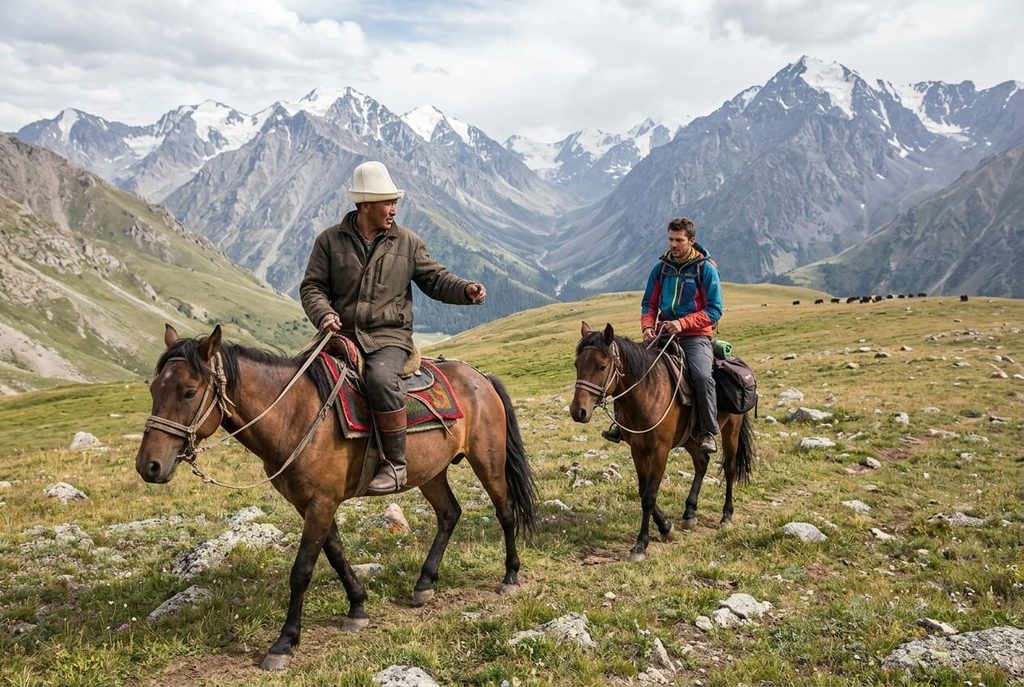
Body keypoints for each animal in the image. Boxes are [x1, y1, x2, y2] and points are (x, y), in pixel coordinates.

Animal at [135, 324, 536, 670]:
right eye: (153, 390)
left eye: (188, 392)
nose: (149, 466)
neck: (295, 414)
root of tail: (481, 377)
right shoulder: (310, 504)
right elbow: (337, 554)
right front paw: (357, 608)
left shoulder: (321, 503)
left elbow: (302, 570)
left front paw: (284, 643)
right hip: (431, 472)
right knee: (450, 513)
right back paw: (424, 584)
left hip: (488, 462)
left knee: (505, 511)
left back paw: (510, 576)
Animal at [569, 322, 755, 561]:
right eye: (577, 364)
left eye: (602, 366)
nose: (578, 412)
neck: (646, 392)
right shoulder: (637, 450)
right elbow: (643, 491)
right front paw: (666, 526)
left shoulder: (660, 451)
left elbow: (649, 495)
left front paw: (641, 544)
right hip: (690, 438)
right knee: (701, 463)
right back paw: (690, 513)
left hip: (731, 429)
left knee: (730, 469)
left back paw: (726, 516)